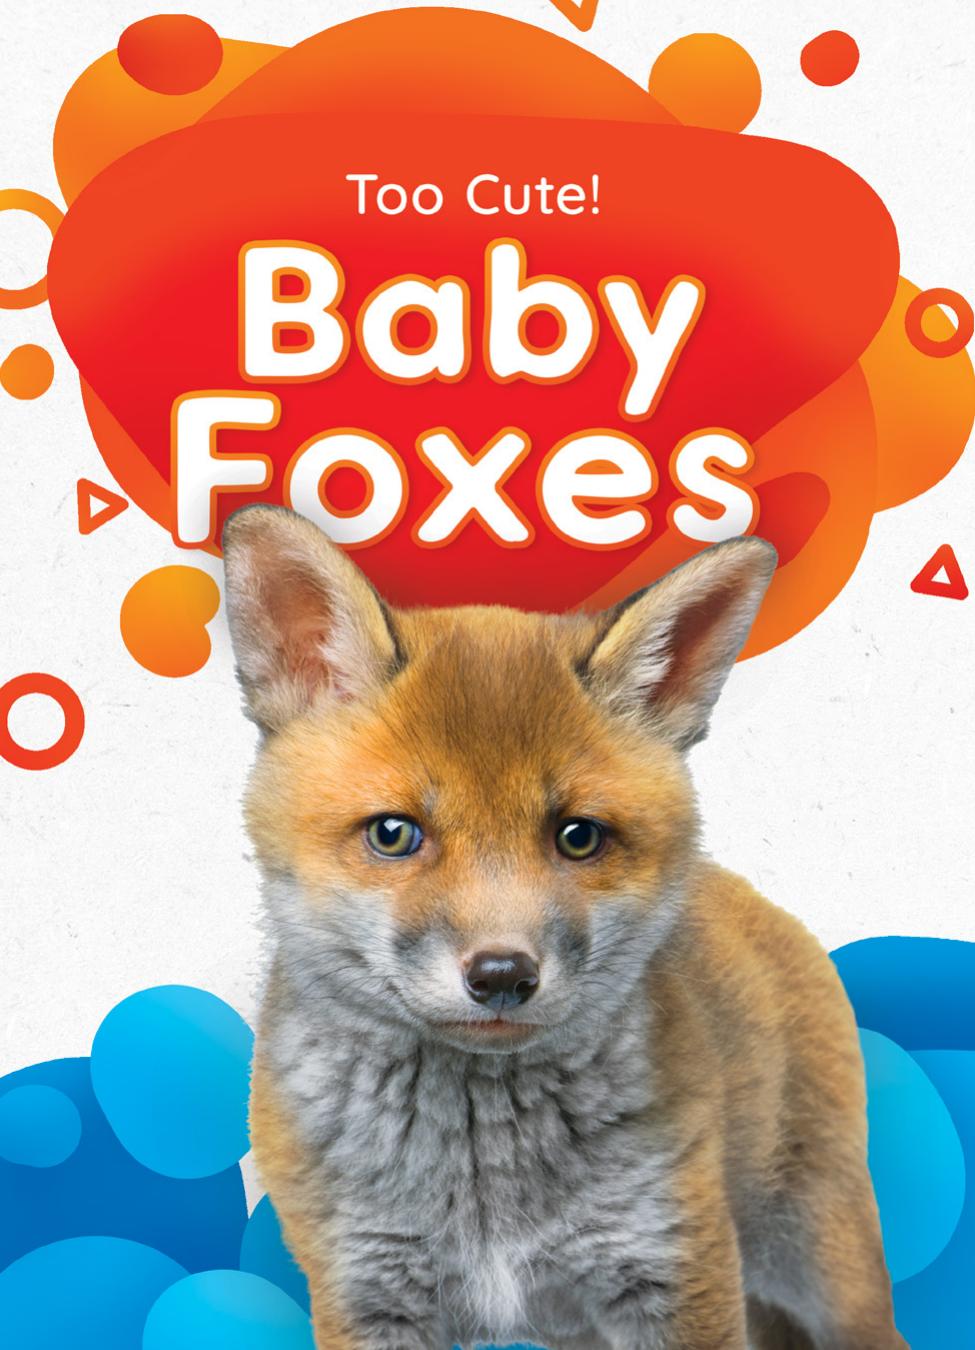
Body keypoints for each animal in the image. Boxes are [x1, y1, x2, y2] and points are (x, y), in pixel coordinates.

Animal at [222, 504, 906, 1350]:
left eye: (577, 837)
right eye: (393, 834)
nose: (501, 976)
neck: (483, 1178)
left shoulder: (674, 1268)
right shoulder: (366, 1290)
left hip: (826, 1274)